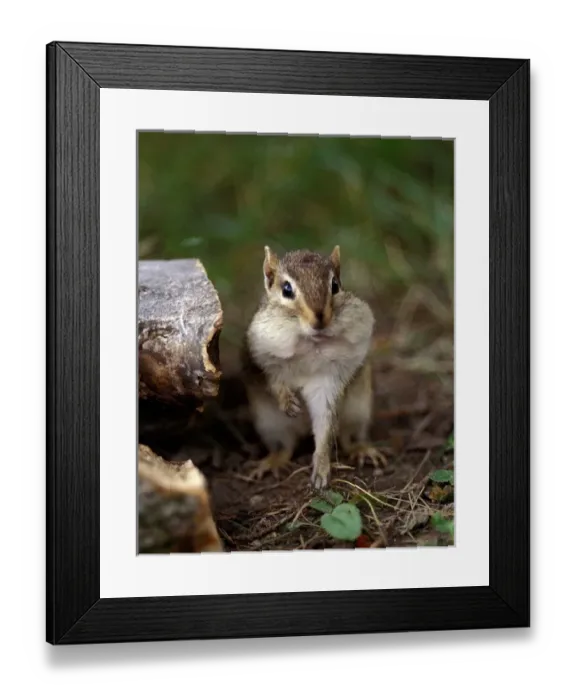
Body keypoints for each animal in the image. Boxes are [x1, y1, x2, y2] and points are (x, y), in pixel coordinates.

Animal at [241, 244, 387, 492]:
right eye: (286, 289)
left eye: (335, 285)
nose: (319, 318)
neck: (309, 343)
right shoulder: (266, 357)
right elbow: (274, 380)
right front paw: (287, 401)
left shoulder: (329, 379)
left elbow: (324, 425)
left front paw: (321, 467)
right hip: (271, 423)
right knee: (285, 446)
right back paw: (272, 462)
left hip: (358, 411)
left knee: (346, 437)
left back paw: (361, 450)